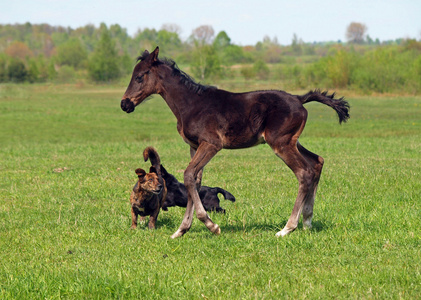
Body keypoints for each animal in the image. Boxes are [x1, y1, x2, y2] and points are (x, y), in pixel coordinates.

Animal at [120, 47, 350, 239]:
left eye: (139, 77)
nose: (125, 104)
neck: (191, 104)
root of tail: (299, 99)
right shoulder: (194, 146)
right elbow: (194, 180)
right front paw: (181, 230)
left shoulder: (212, 144)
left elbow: (188, 175)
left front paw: (211, 226)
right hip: (292, 141)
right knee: (317, 162)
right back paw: (307, 221)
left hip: (281, 143)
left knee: (304, 172)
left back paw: (287, 228)